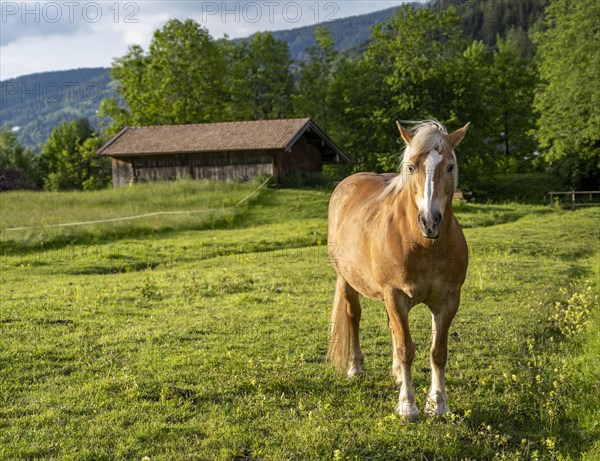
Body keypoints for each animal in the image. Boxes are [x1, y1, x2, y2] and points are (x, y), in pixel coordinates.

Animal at [326, 119, 472, 420]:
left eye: (450, 167)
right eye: (411, 167)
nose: (430, 221)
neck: (424, 246)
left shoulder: (448, 301)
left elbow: (438, 352)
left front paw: (438, 404)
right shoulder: (395, 295)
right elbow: (406, 349)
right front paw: (407, 405)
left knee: (391, 326)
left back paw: (395, 374)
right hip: (347, 281)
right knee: (354, 317)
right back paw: (355, 367)